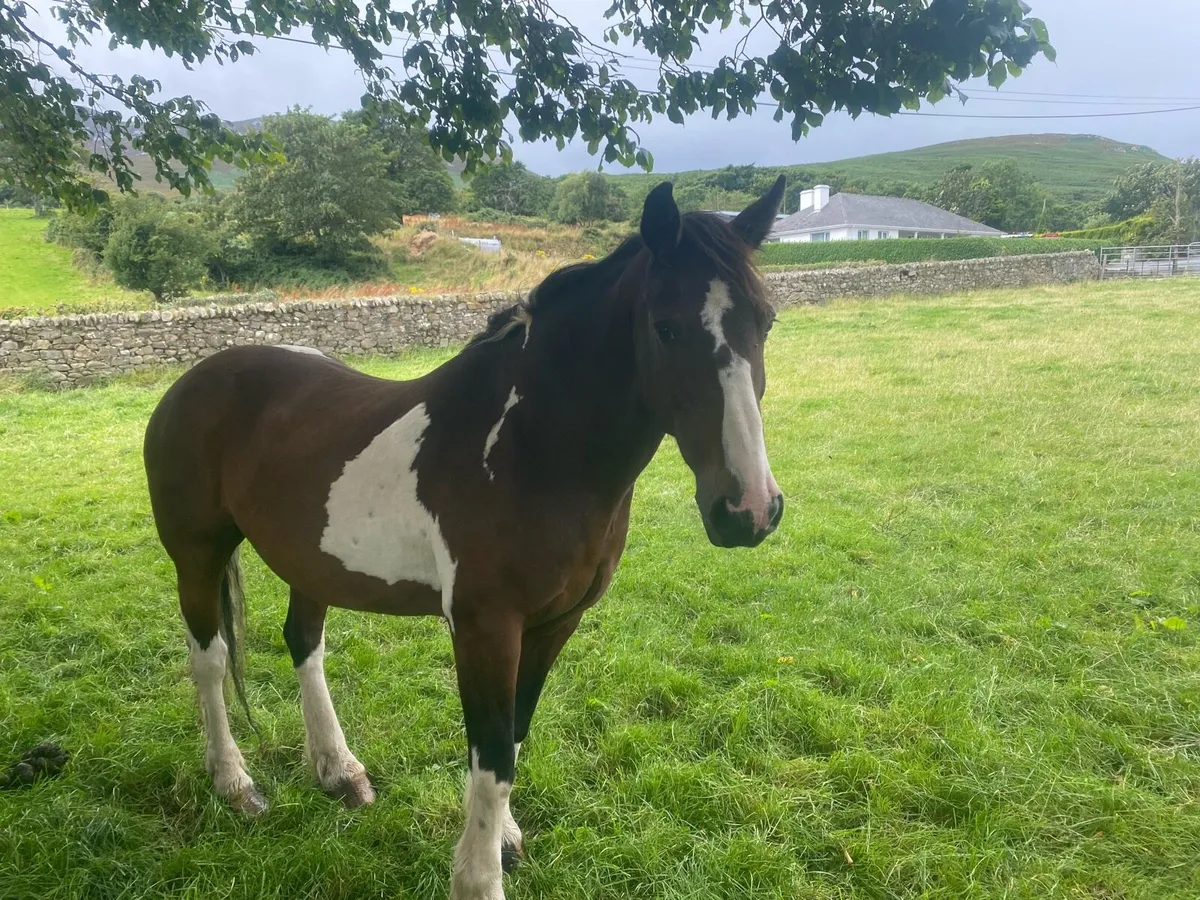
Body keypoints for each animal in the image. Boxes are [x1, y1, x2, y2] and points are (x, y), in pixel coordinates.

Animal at [142, 176, 786, 900]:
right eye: (666, 327)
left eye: (766, 321)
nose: (749, 509)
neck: (530, 449)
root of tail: (194, 380)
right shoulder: (485, 627)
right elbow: (493, 749)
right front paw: (478, 876)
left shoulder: (555, 622)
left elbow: (516, 732)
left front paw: (502, 839)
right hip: (196, 555)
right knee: (210, 659)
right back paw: (234, 782)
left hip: (312, 561)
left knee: (304, 644)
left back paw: (339, 770)